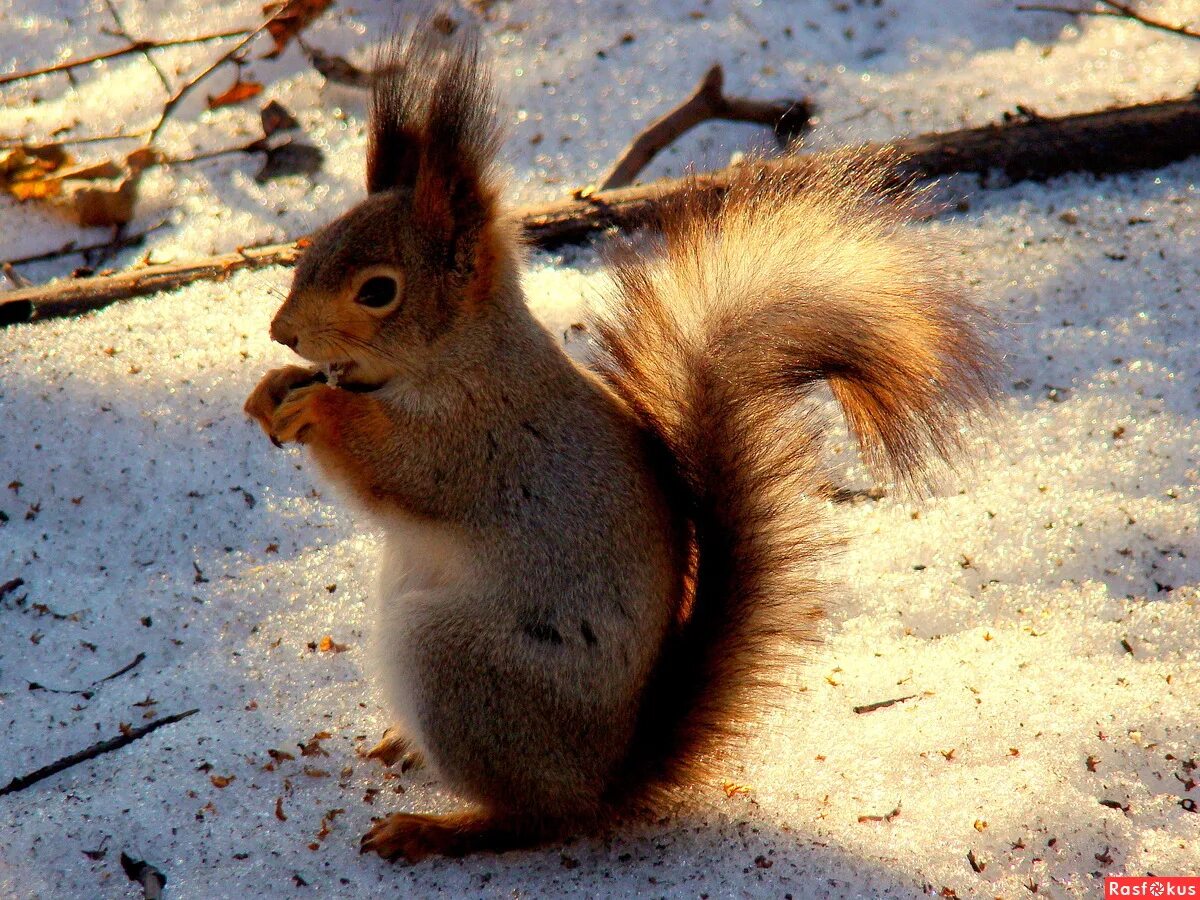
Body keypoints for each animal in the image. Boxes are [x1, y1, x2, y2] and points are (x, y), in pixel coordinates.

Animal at [241, 14, 993, 864]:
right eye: (315, 242)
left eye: (378, 291)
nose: (282, 330)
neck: (458, 361)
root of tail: (605, 778)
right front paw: (272, 389)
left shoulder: (483, 441)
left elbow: (400, 467)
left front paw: (322, 412)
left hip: (457, 665)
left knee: (531, 819)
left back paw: (437, 827)